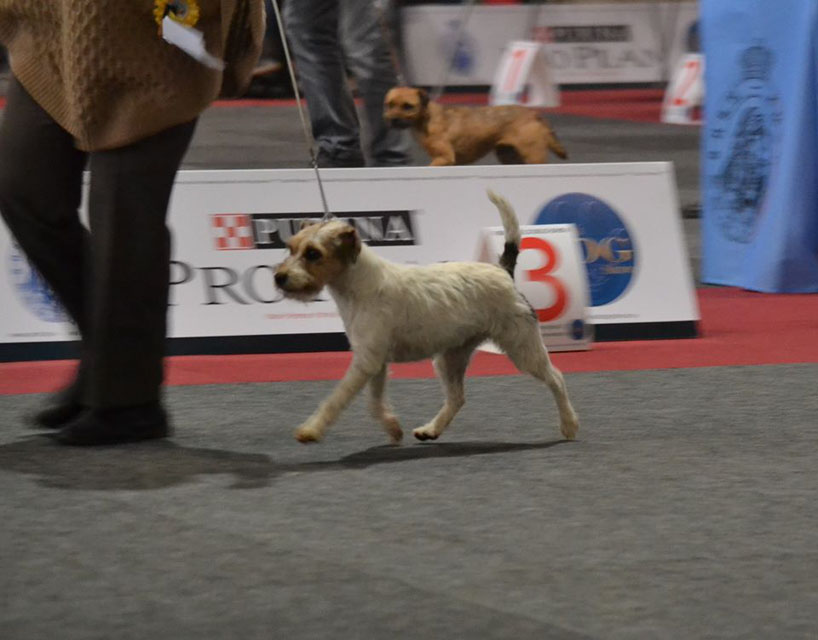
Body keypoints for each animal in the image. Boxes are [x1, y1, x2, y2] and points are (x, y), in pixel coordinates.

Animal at [273, 191, 579, 444]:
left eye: (314, 253)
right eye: (291, 248)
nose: (279, 277)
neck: (358, 285)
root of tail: (503, 270)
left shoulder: (366, 362)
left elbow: (336, 399)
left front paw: (311, 429)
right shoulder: (373, 361)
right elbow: (375, 402)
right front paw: (392, 428)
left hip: (522, 346)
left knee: (557, 378)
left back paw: (569, 425)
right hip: (450, 357)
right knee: (457, 398)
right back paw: (431, 430)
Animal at [383, 86, 567, 166]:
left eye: (407, 106)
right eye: (390, 104)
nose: (393, 120)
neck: (426, 118)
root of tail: (533, 113)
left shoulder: (444, 158)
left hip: (533, 157)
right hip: (509, 156)